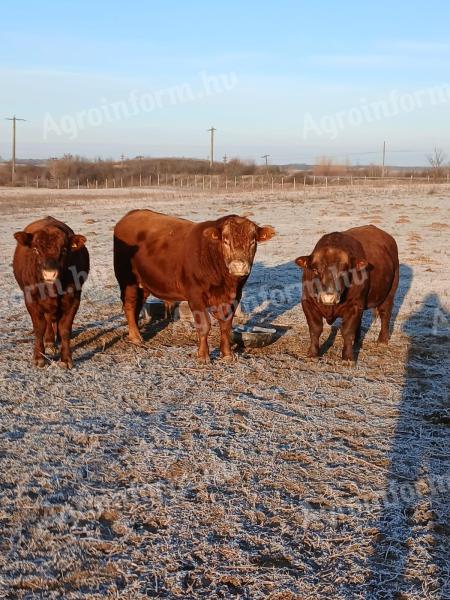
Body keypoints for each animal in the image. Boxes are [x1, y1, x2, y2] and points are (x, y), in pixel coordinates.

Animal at [12, 213, 89, 368]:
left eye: (64, 250)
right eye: (35, 249)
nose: (49, 273)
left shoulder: (73, 299)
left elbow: (65, 328)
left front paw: (66, 358)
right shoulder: (31, 299)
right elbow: (39, 327)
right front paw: (39, 357)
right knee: (48, 320)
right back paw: (49, 341)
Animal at [298, 224, 400, 360]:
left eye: (344, 270)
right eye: (315, 270)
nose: (328, 297)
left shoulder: (354, 305)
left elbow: (347, 331)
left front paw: (347, 357)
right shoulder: (307, 303)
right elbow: (315, 329)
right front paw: (313, 353)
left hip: (389, 293)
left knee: (385, 314)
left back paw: (382, 340)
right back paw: (357, 341)